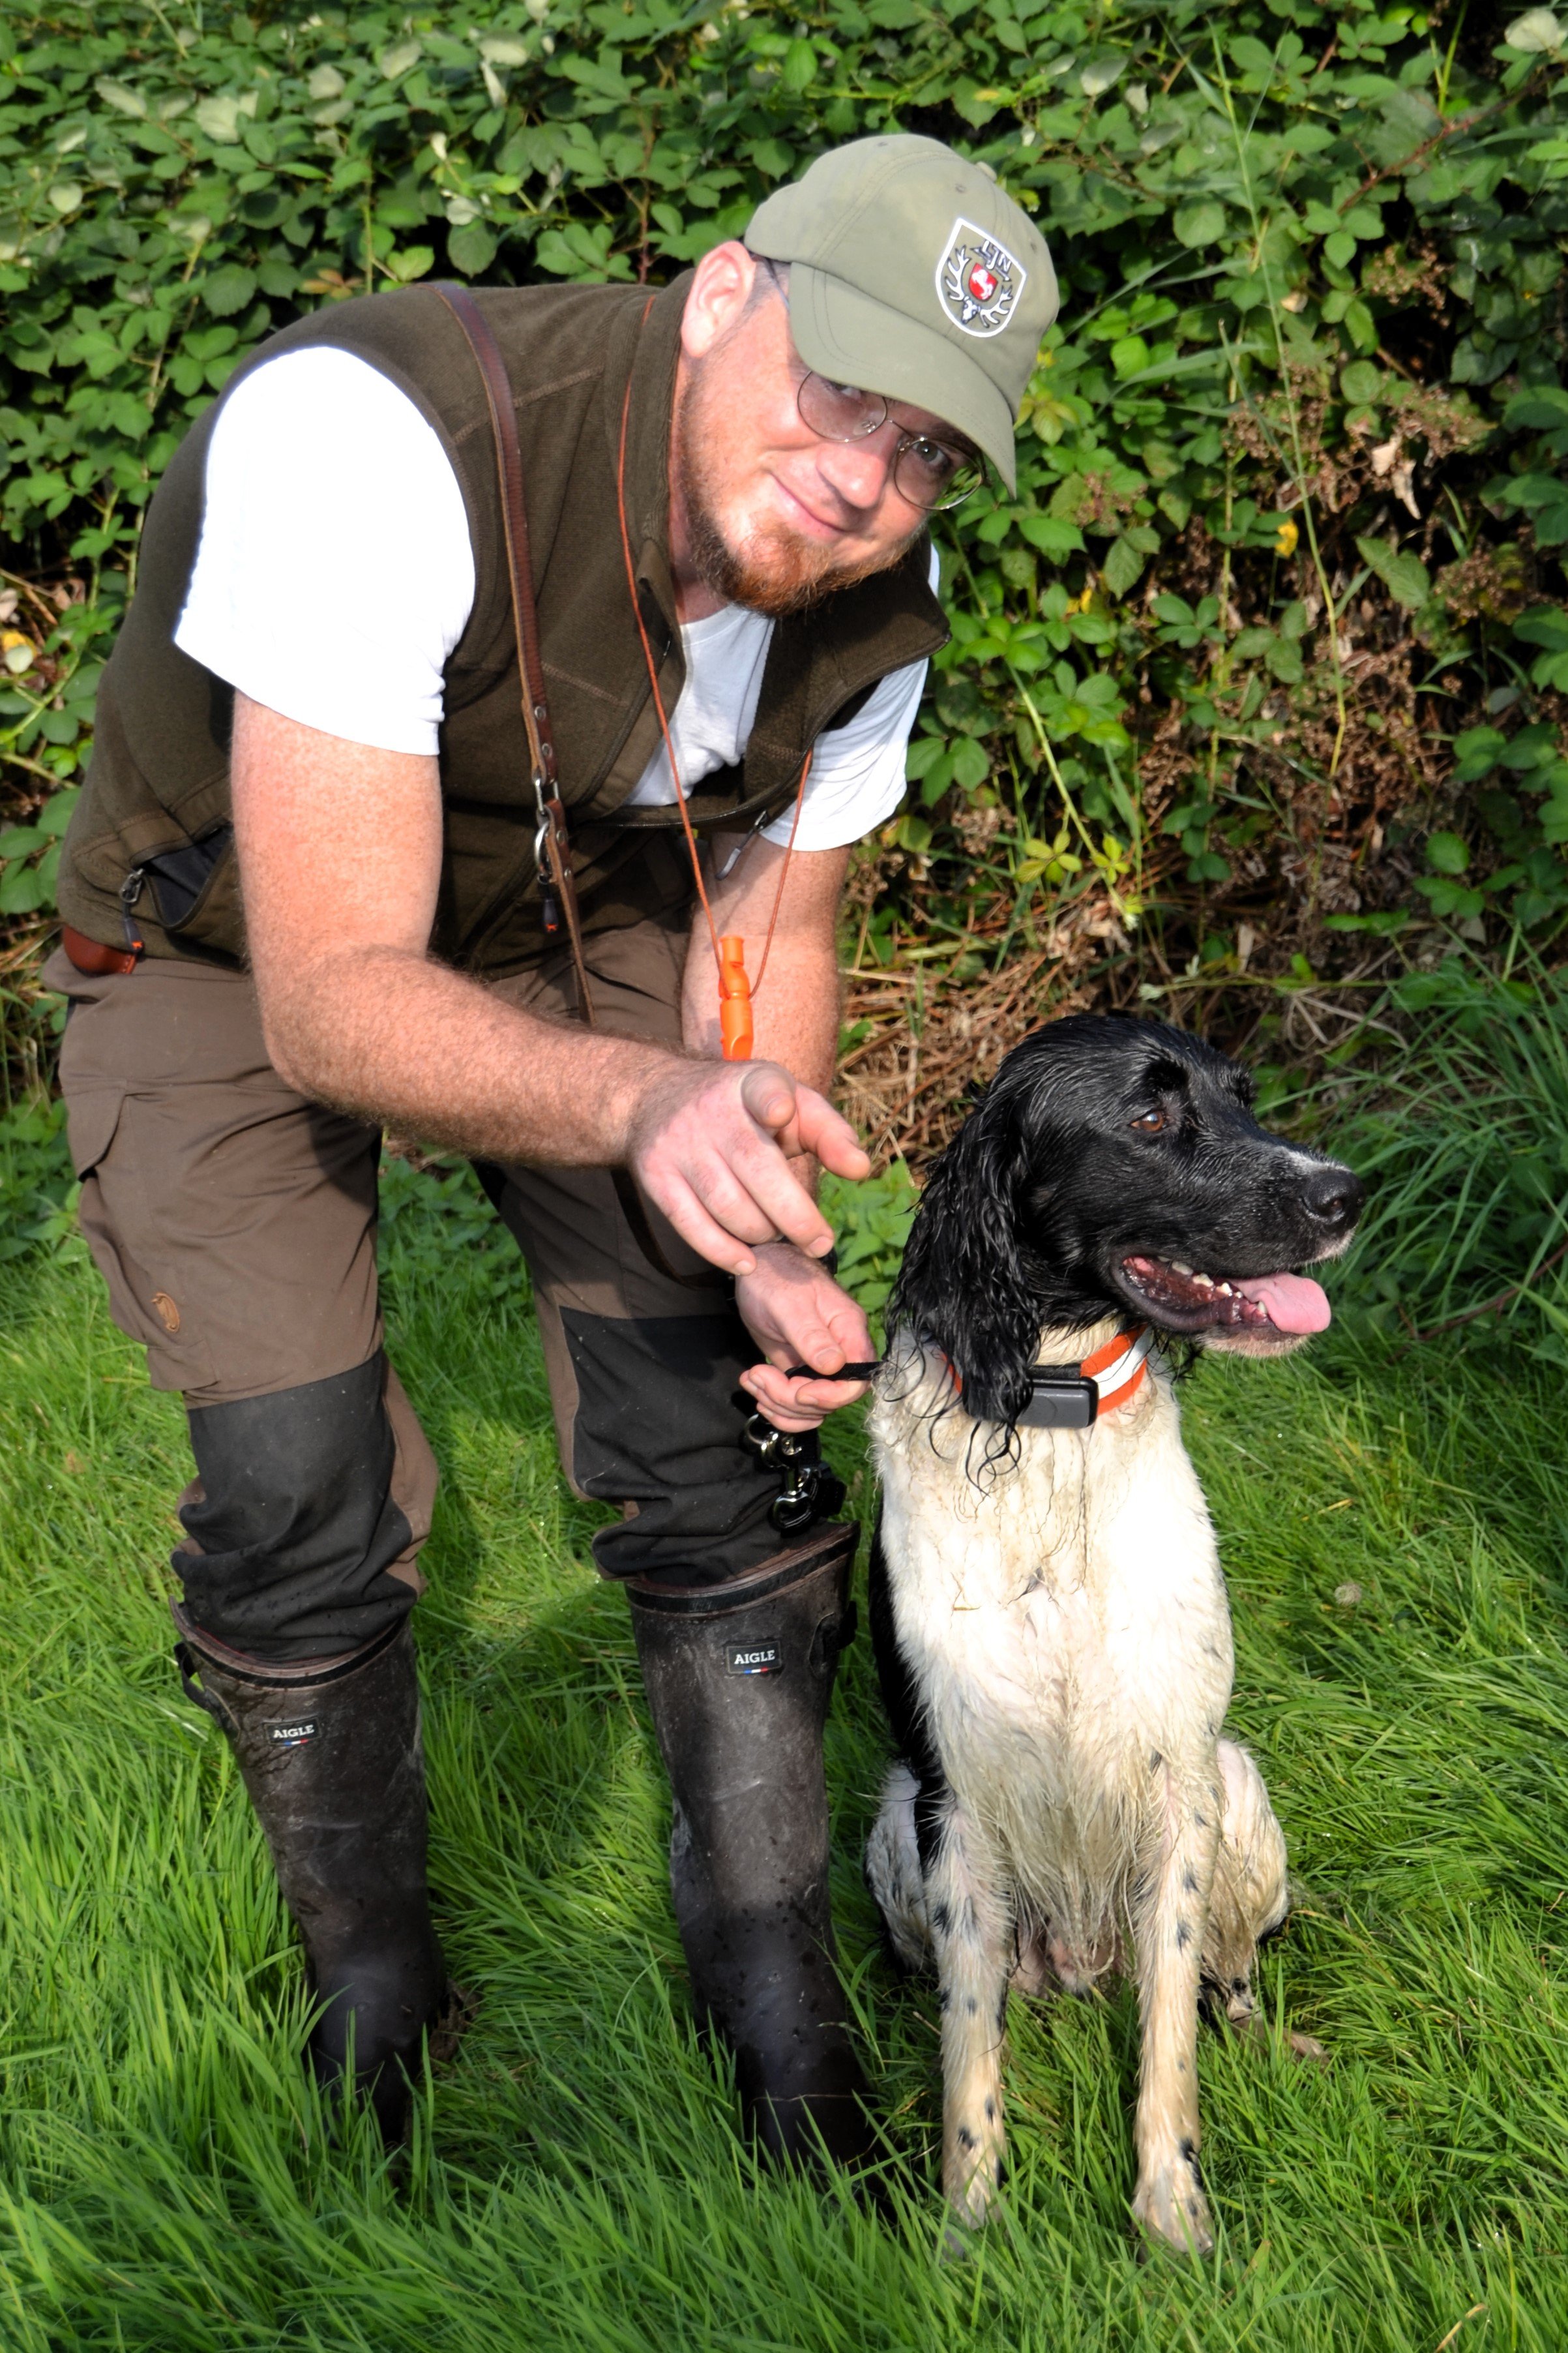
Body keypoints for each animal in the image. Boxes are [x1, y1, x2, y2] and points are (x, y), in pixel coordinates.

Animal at [863, 1014, 1363, 2254]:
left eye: (1243, 1097)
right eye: (1148, 1116)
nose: (1345, 1192)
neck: (1052, 1422)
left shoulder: (1179, 1774)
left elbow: (1171, 2037)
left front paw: (1173, 2215)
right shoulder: (952, 1804)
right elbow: (968, 2053)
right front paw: (965, 2234)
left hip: (1240, 1793)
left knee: (1228, 1985)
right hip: (892, 1821)